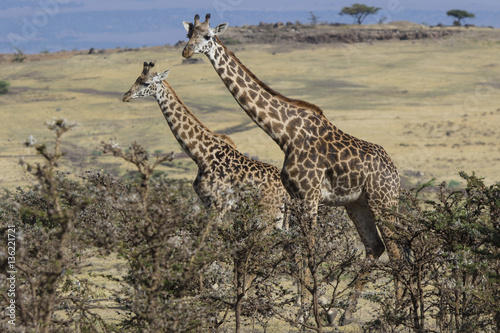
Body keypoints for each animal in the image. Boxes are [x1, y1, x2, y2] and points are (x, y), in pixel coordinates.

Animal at [122, 61, 290, 228]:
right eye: (136, 79)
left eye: (146, 83)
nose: (125, 96)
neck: (201, 156)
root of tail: (286, 192)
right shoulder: (207, 203)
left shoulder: (219, 205)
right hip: (279, 217)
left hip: (267, 213)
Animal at [183, 14, 402, 322]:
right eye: (189, 33)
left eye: (208, 37)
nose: (186, 52)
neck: (284, 133)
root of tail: (395, 174)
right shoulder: (296, 198)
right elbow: (297, 250)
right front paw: (305, 312)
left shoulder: (309, 196)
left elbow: (310, 251)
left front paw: (313, 313)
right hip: (357, 204)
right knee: (375, 246)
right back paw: (346, 315)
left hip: (383, 202)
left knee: (396, 250)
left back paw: (397, 312)